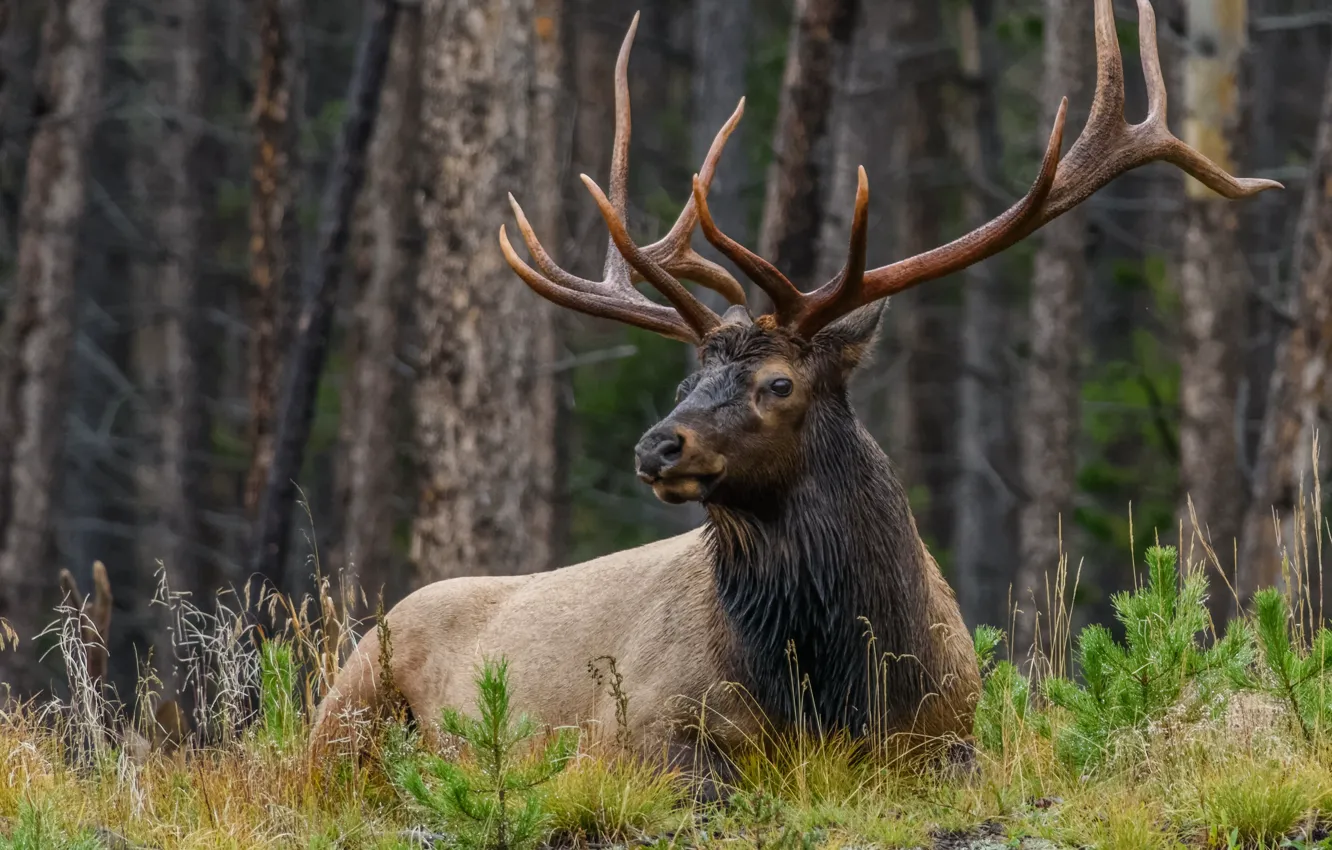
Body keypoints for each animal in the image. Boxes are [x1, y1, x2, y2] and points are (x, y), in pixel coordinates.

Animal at [311, 0, 1278, 767]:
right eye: (690, 374)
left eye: (778, 384)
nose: (657, 444)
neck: (837, 690)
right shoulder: (638, 733)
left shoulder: (955, 733)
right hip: (343, 707)